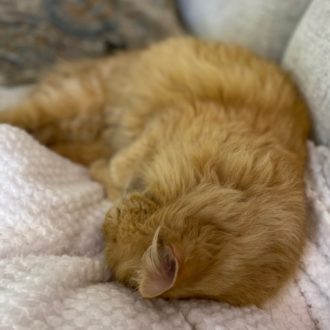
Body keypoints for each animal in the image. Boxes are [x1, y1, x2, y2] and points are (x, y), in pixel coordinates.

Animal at [0, 37, 310, 306]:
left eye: (110, 235)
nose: (103, 223)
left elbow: (110, 172)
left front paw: (102, 174)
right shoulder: (164, 122)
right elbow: (122, 162)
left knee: (54, 136)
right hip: (79, 96)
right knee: (27, 113)